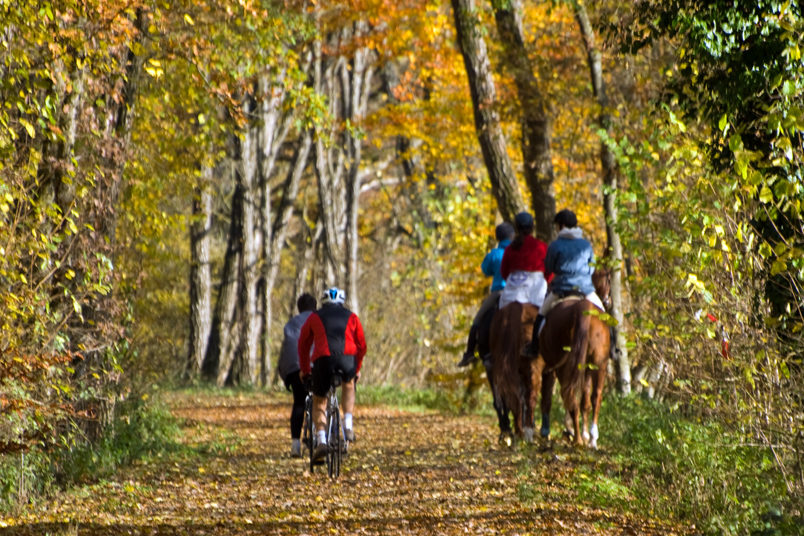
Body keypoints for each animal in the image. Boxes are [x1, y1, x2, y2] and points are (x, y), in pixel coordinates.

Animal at [536, 268, 612, 448]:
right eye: (610, 279)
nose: (608, 301)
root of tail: (581, 309)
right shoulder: (586, 367)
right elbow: (585, 400)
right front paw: (583, 433)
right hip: (597, 364)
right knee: (594, 396)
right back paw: (589, 438)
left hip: (567, 366)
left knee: (572, 396)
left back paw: (578, 437)